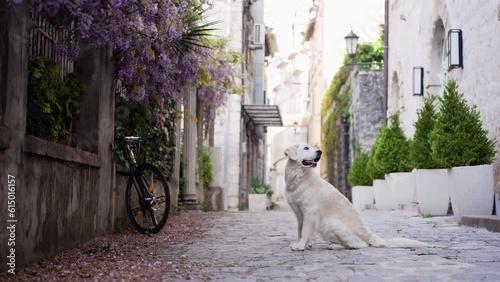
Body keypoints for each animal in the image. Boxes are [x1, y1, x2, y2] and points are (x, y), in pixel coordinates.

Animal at [284, 144, 428, 250]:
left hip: (331, 223)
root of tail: (370, 235)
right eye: (306, 148)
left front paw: (300, 246)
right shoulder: (299, 213)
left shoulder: (310, 212)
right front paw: (302, 244)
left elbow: (305, 231)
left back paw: (335, 246)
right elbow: (300, 230)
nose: (320, 151)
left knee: (360, 245)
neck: (299, 178)